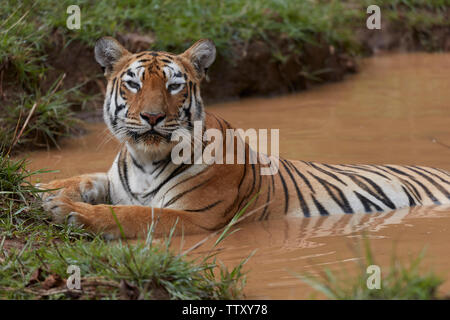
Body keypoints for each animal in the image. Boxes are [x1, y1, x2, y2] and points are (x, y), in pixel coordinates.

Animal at [38, 36, 450, 239]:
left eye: (174, 86)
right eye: (134, 84)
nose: (152, 117)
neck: (145, 160)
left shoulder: (196, 217)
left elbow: (134, 214)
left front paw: (70, 212)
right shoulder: (113, 181)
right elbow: (83, 178)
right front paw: (40, 187)